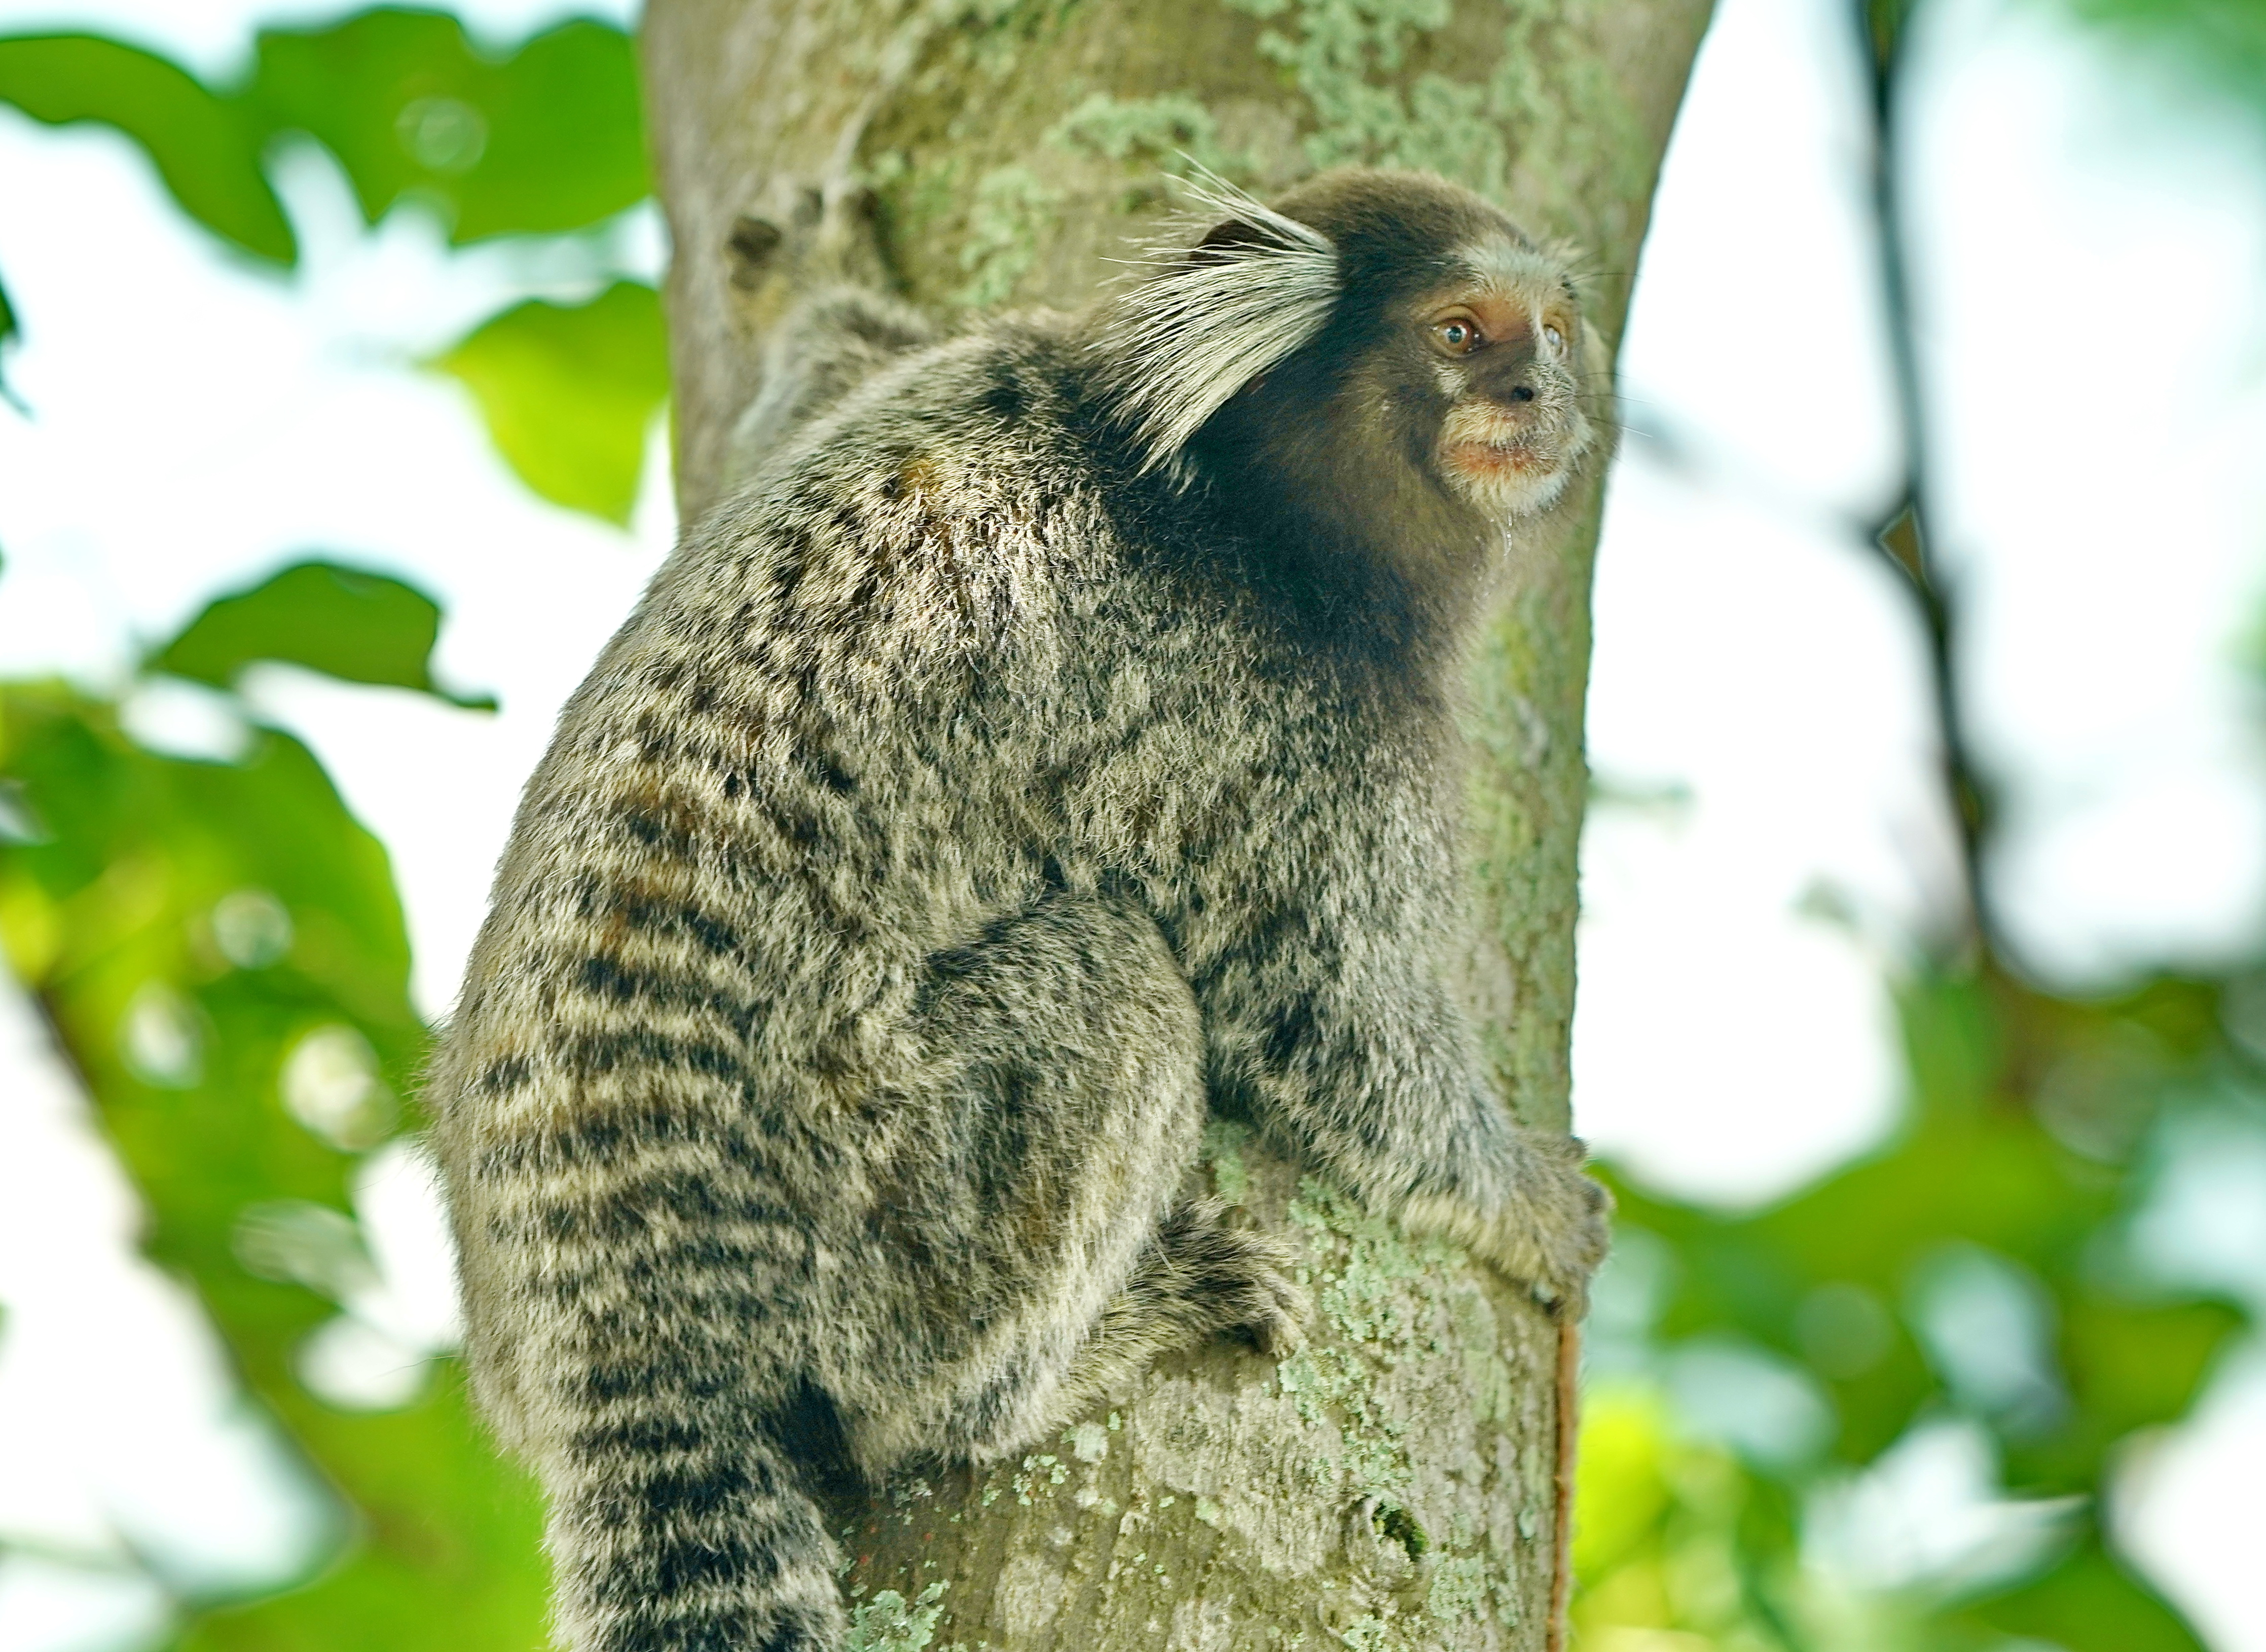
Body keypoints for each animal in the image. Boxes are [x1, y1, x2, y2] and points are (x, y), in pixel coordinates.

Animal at [428, 167, 1613, 1649]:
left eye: (1549, 331)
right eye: (1459, 334)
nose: (1534, 394)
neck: (1223, 482)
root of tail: (618, 1316)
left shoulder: (964, 369)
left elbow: (809, 400)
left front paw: (817, 287)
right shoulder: (1274, 711)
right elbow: (1320, 1014)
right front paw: (1522, 1199)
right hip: (874, 1194)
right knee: (1112, 986)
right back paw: (1069, 1356)